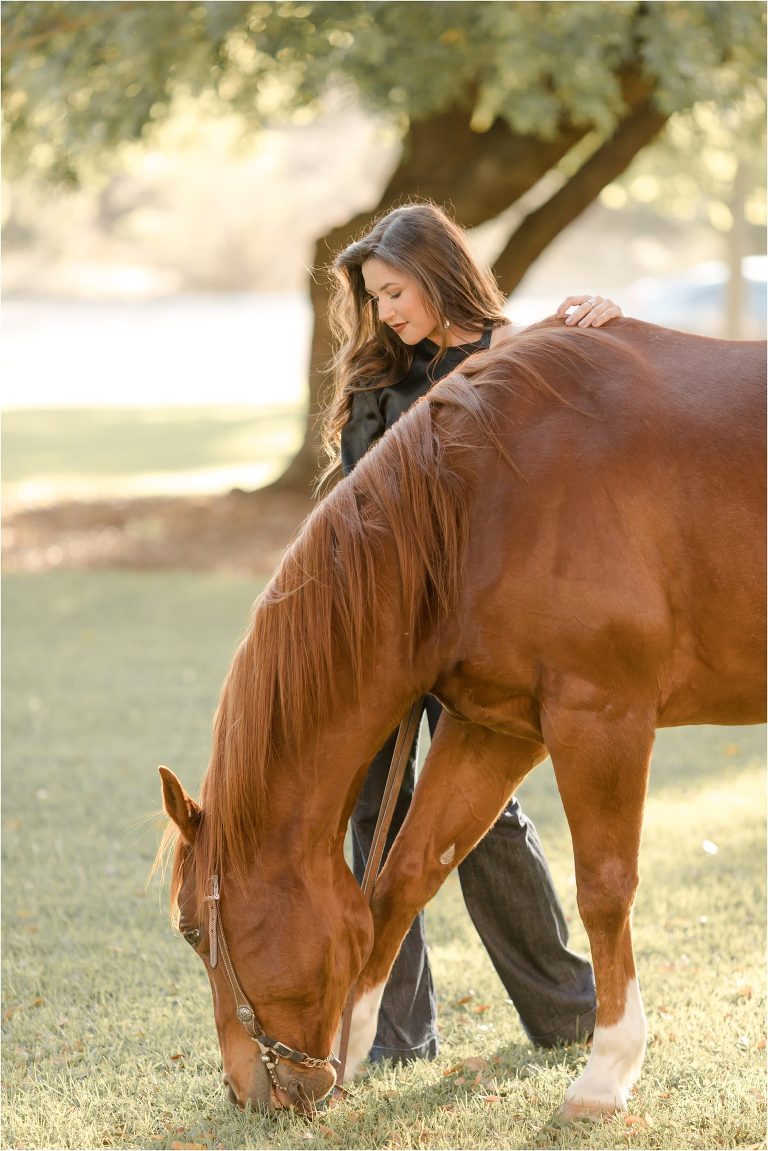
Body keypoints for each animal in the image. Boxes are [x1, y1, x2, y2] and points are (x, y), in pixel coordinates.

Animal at [157, 317, 766, 1120]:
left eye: (193, 930)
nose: (248, 1093)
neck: (484, 502)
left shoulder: (602, 717)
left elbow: (604, 888)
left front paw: (605, 1071)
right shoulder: (495, 729)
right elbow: (404, 877)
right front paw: (361, 1044)